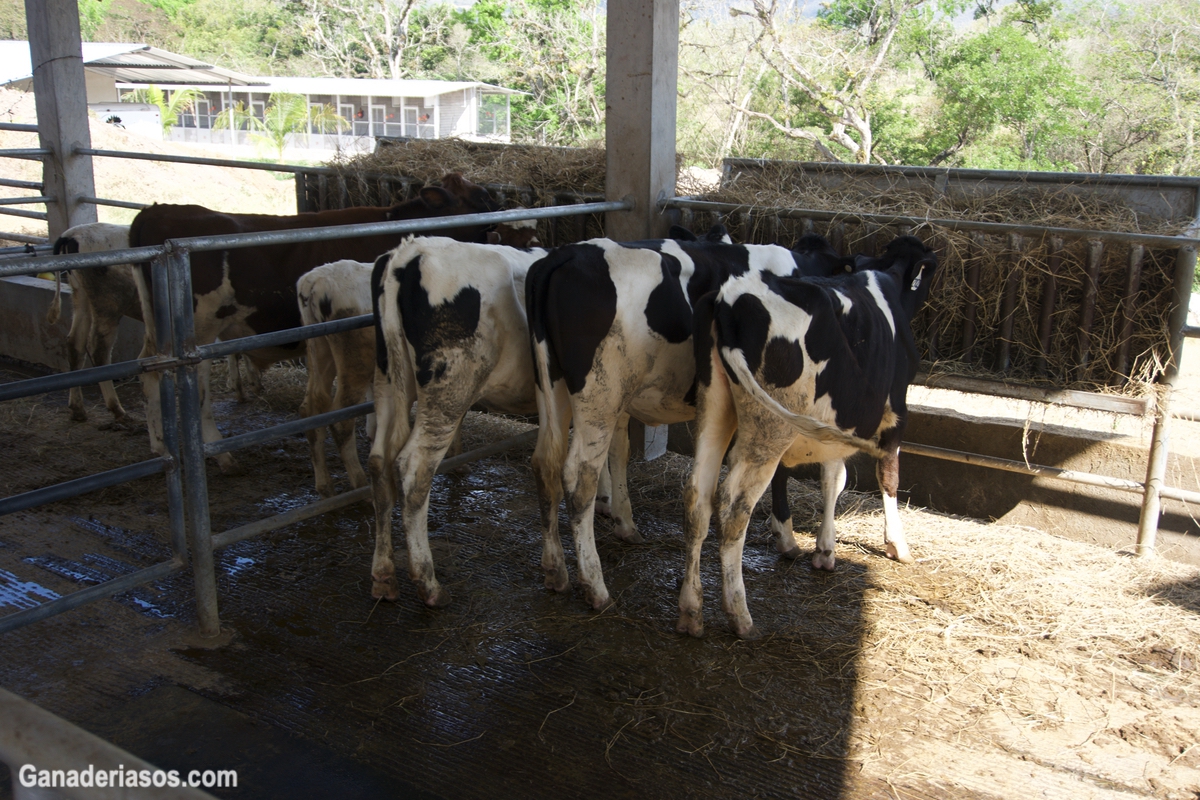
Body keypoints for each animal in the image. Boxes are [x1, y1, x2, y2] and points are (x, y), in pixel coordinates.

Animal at [528, 235, 854, 609]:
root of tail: (566, 254)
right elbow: (819, 474)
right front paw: (803, 542)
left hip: (554, 385)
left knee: (546, 462)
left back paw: (556, 569)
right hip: (599, 392)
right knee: (579, 475)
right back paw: (595, 587)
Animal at [676, 235, 936, 642]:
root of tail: (729, 296)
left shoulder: (838, 423)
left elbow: (834, 479)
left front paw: (826, 550)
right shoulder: (896, 413)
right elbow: (887, 477)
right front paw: (896, 543)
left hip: (714, 405)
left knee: (697, 498)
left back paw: (690, 611)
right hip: (769, 426)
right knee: (734, 507)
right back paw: (739, 615)